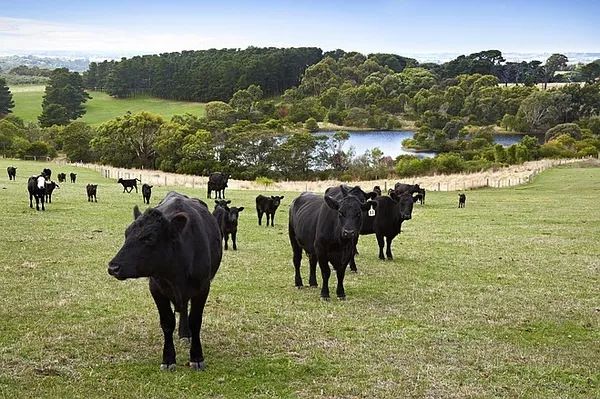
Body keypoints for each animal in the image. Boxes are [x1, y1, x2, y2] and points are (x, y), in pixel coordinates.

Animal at [108, 191, 223, 372]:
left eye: (149, 238)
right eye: (126, 234)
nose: (113, 267)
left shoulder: (203, 288)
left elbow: (195, 321)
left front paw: (197, 357)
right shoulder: (156, 289)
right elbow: (167, 322)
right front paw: (168, 359)